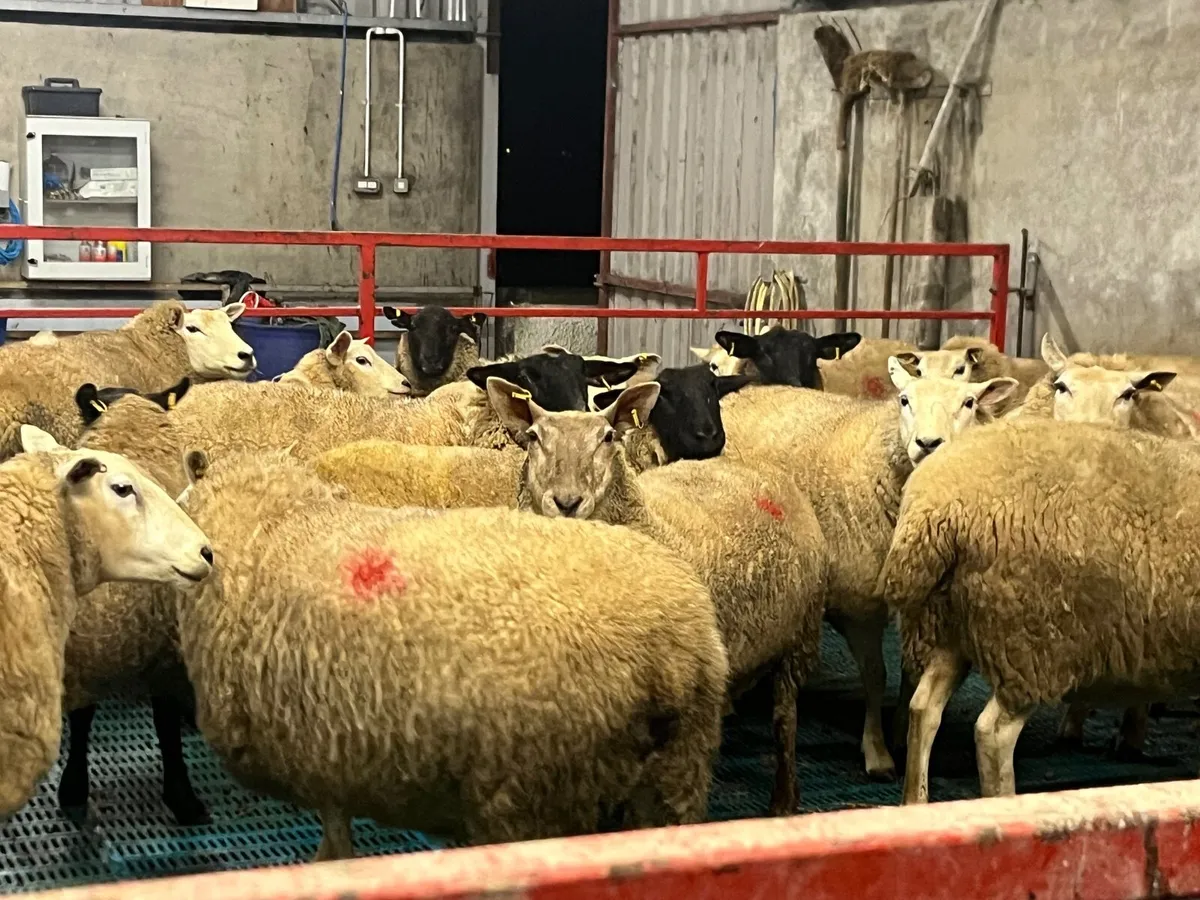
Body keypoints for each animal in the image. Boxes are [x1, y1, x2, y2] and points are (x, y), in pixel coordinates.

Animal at [174, 450, 728, 859]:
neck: (277, 522)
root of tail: (675, 651)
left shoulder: (321, 751)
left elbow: (335, 836)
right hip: (676, 776)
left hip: (533, 797)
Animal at [488, 377, 826, 816]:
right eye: (533, 437)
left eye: (608, 437)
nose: (567, 502)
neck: (647, 520)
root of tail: (758, 466)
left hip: (799, 638)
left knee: (785, 719)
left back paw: (784, 799)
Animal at [718, 362, 1019, 779]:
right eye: (904, 399)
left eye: (969, 402)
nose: (928, 443)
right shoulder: (859, 604)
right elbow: (876, 676)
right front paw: (876, 751)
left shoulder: (918, 604)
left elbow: (911, 674)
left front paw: (901, 732)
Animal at [879, 418, 1200, 800]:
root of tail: (931, 506)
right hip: (1030, 641)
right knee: (992, 734)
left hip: (956, 627)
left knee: (924, 708)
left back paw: (916, 800)